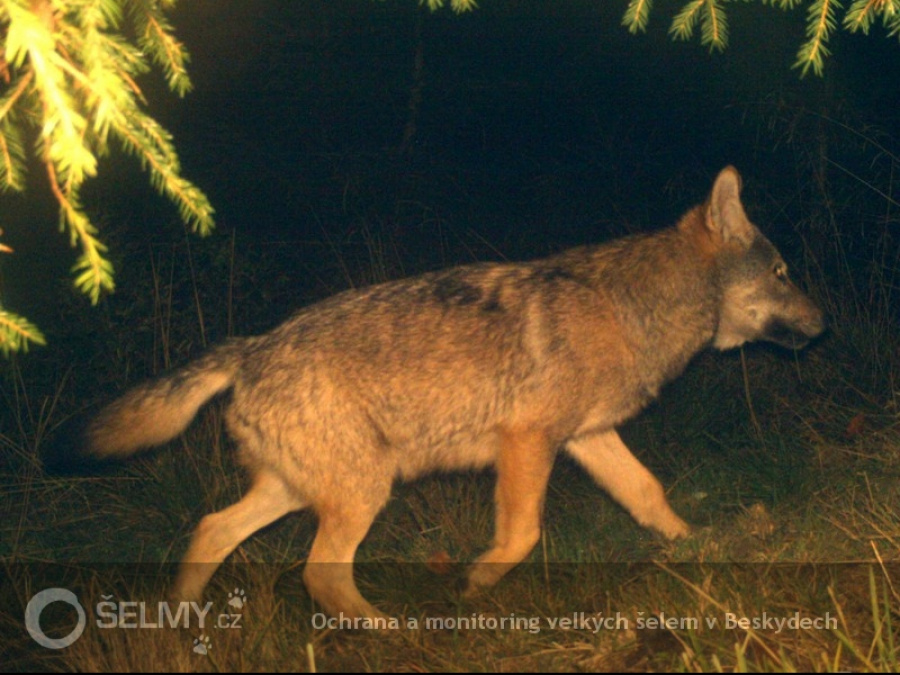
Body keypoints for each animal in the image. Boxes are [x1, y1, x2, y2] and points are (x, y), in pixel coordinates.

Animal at [54, 168, 824, 616]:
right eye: (784, 273)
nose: (825, 323)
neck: (633, 307)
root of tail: (249, 349)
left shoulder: (586, 437)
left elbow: (648, 493)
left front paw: (698, 544)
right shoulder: (529, 441)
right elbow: (521, 534)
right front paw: (474, 585)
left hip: (303, 491)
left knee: (213, 531)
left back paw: (182, 624)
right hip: (364, 490)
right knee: (319, 574)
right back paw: (385, 632)